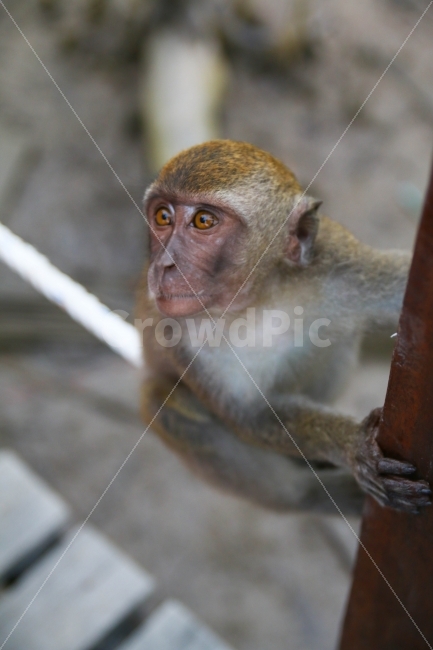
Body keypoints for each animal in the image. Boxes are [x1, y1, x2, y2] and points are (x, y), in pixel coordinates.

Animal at [136, 139, 431, 516]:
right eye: (163, 216)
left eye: (203, 221)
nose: (164, 265)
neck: (259, 297)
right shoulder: (173, 331)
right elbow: (252, 415)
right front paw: (352, 444)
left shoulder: (339, 261)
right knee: (162, 401)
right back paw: (312, 496)